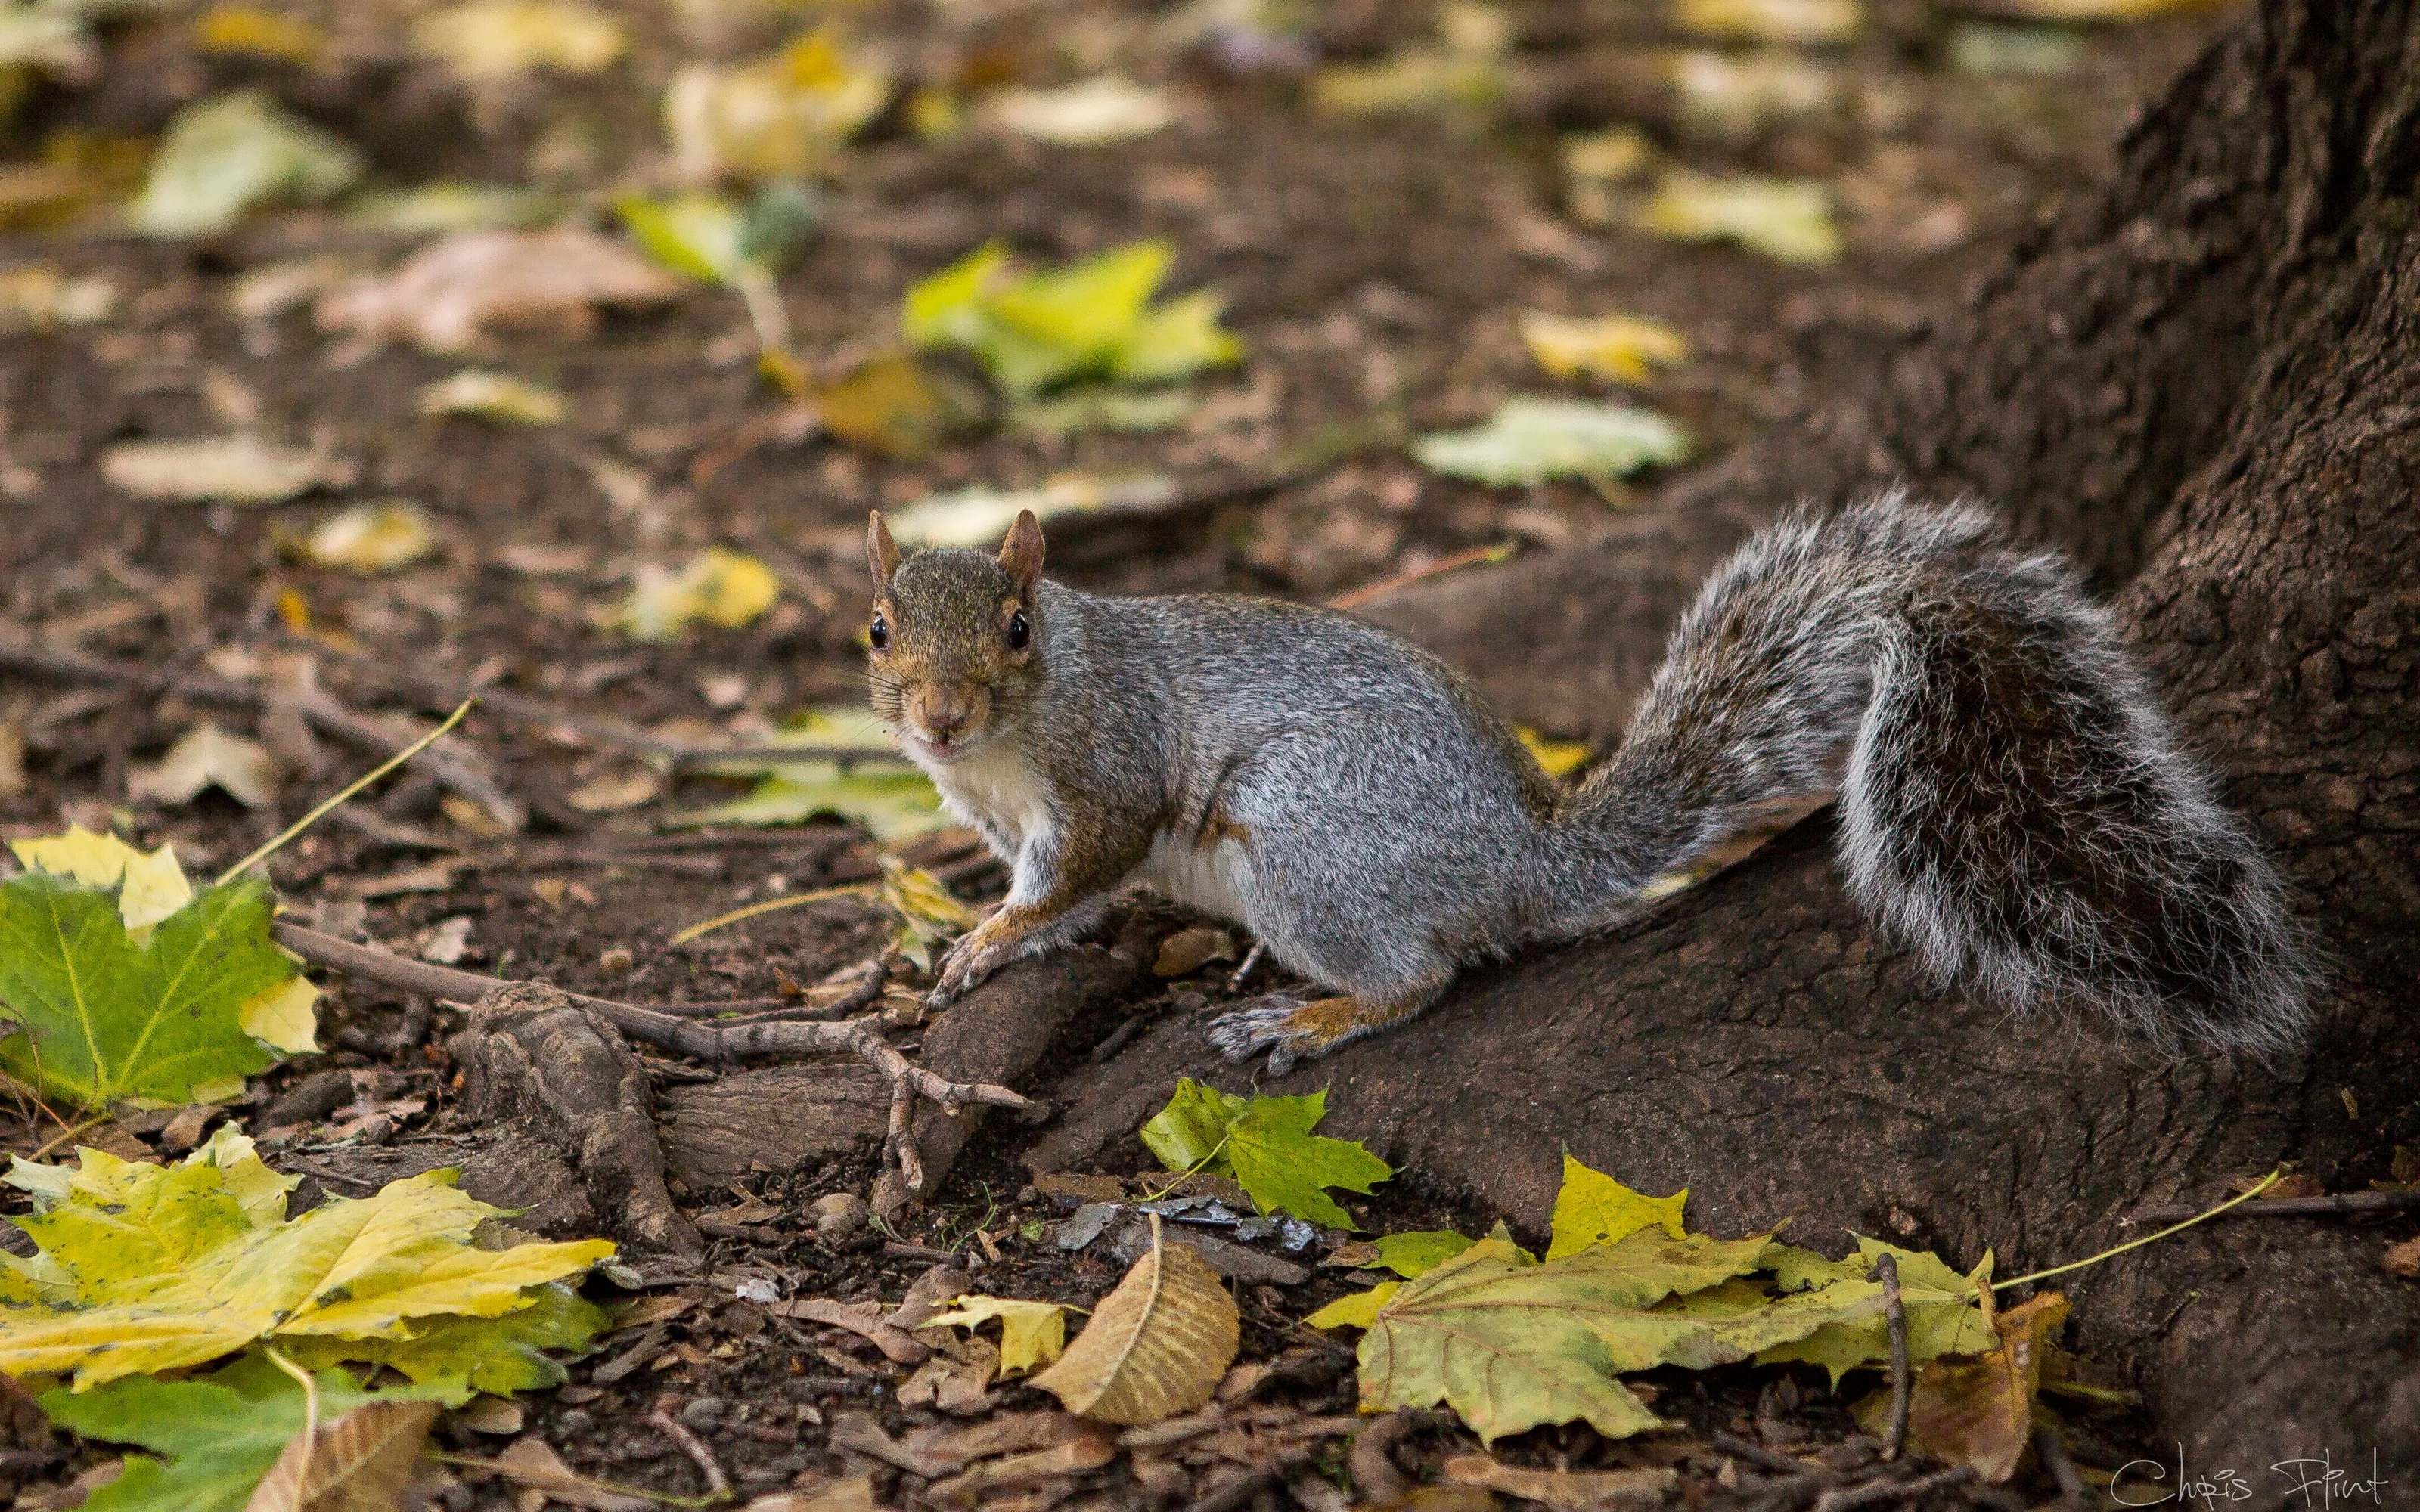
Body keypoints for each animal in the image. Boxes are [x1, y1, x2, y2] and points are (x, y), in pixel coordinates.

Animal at [863, 494, 2313, 1072]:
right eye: (876, 631)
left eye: (1017, 629)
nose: (937, 715)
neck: (1004, 750)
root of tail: (1529, 856)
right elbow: (1058, 892)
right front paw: (985, 934)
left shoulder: (1107, 769)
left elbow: (1087, 864)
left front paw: (988, 940)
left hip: (1306, 846)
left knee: (1425, 974)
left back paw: (1317, 1016)